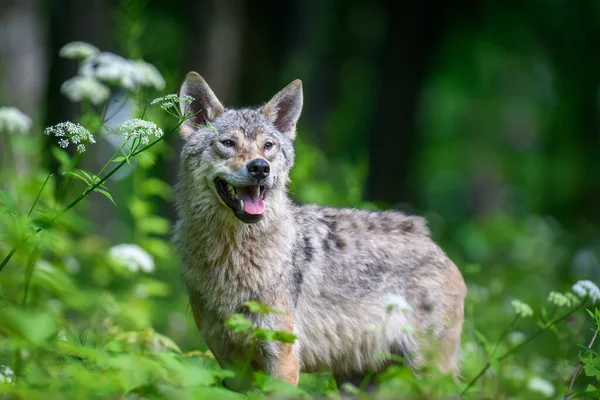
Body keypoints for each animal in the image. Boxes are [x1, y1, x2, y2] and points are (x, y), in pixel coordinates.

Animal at [171, 71, 466, 390]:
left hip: (427, 375)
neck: (233, 255)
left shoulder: (283, 359)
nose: (260, 168)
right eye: (227, 143)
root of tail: (433, 243)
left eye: (268, 146)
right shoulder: (230, 365)